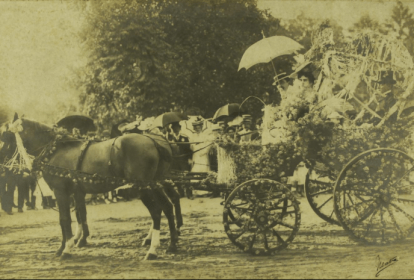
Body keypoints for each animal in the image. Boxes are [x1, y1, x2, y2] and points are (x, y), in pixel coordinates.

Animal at [0, 114, 182, 260]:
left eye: (6, 136)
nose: (3, 164)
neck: (55, 149)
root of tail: (154, 141)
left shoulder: (61, 192)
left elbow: (65, 219)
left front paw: (67, 249)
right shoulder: (74, 192)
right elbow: (75, 216)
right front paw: (68, 245)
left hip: (143, 187)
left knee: (157, 212)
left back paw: (152, 250)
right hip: (155, 184)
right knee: (167, 206)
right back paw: (172, 244)